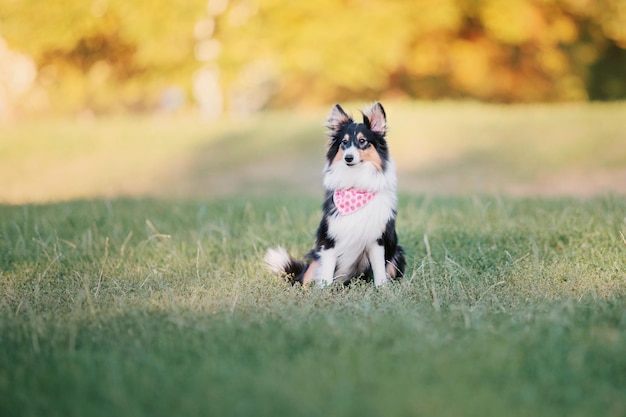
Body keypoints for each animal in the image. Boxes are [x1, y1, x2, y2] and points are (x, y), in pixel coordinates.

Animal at [260, 102, 402, 284]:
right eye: (344, 142)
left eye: (362, 141)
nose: (348, 158)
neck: (355, 185)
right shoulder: (328, 238)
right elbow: (326, 273)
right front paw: (324, 289)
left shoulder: (377, 239)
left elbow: (379, 271)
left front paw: (382, 288)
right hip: (314, 260)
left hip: (397, 253)